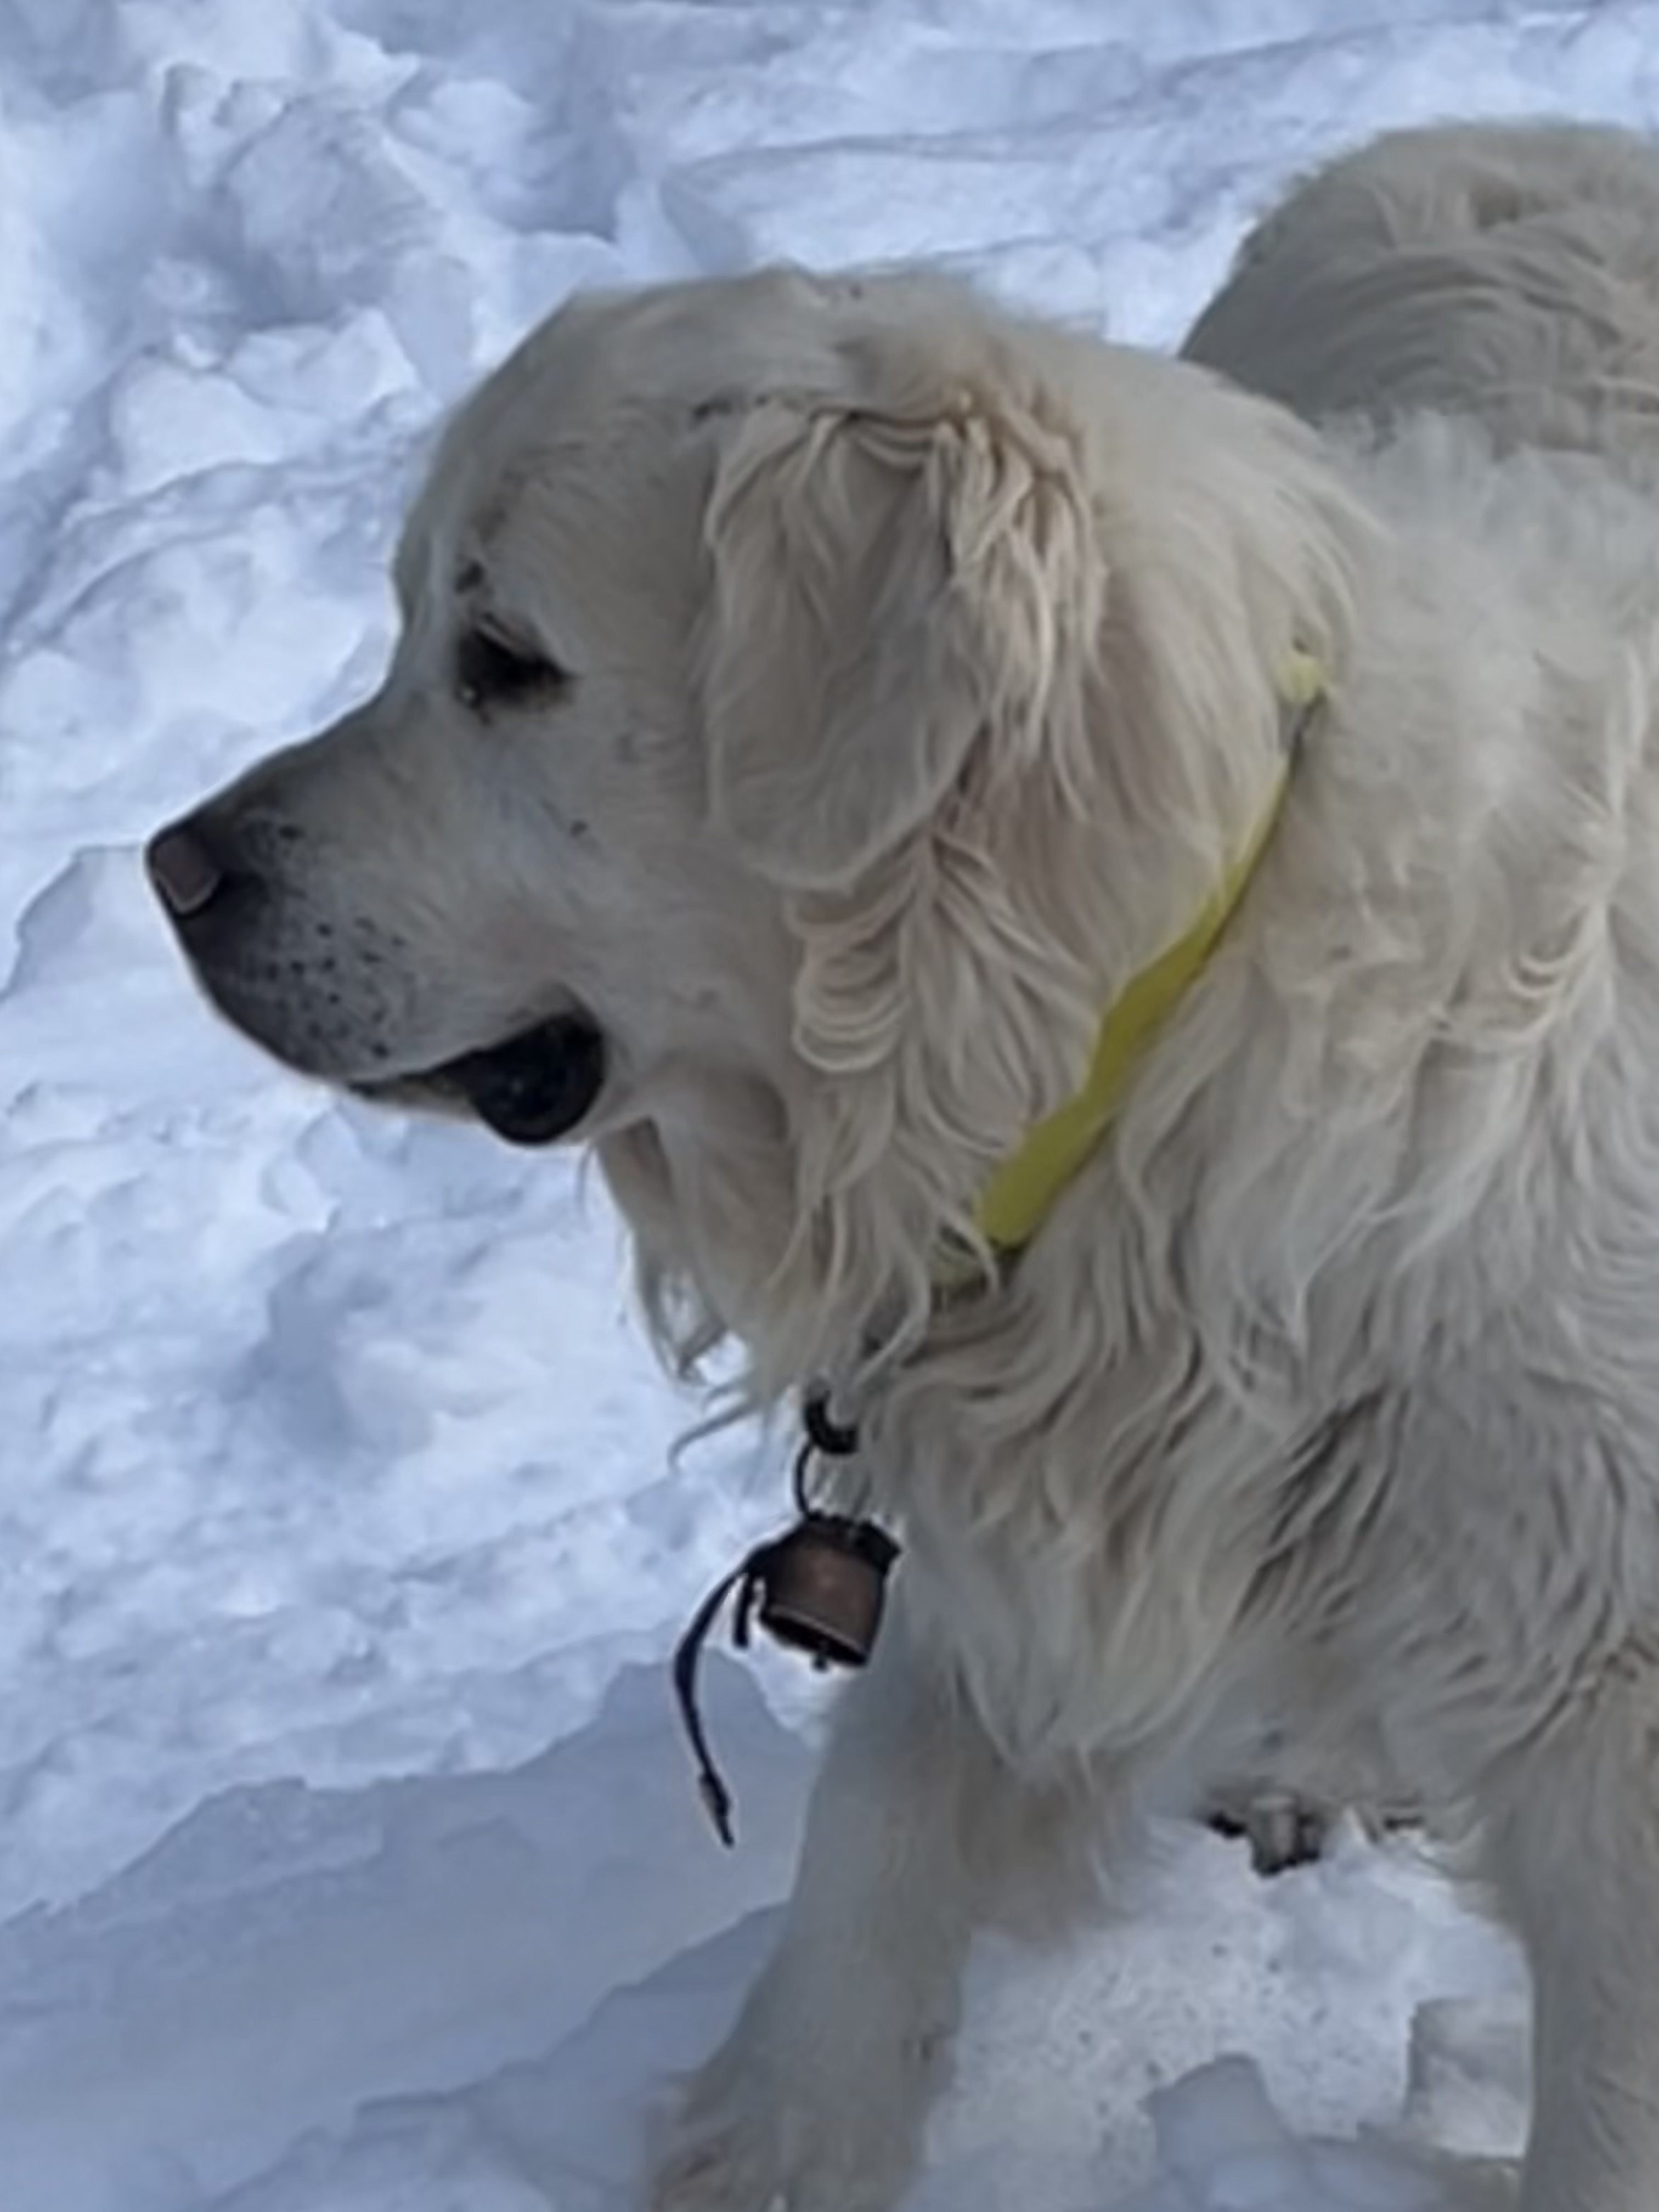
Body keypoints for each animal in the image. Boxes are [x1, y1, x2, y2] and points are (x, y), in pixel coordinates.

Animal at [148, 120, 1659, 2212]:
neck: (1161, 1004)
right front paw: (771, 2150)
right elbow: (867, 1857)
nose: (174, 873)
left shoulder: (1612, 1729)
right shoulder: (1008, 1500)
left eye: (504, 658)